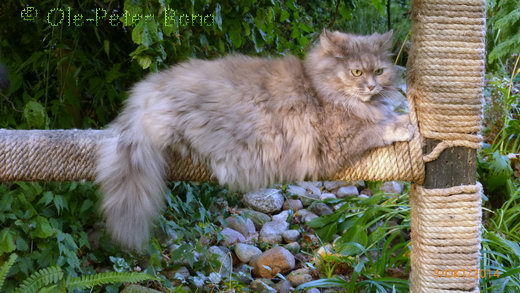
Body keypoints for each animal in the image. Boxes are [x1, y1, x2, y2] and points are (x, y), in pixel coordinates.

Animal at [96, 29, 414, 249]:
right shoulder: (338, 140)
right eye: (356, 71)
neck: (320, 88)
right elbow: (376, 128)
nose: (371, 86)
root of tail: (148, 89)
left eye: (379, 71)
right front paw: (404, 124)